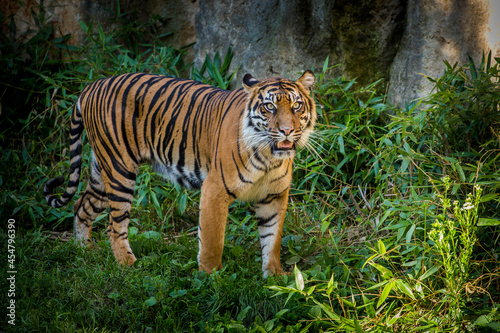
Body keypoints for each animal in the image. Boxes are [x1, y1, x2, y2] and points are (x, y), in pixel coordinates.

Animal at [44, 70, 316, 278]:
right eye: (269, 107)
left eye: (296, 106)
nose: (286, 130)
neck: (270, 157)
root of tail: (91, 86)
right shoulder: (215, 189)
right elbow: (212, 241)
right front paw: (211, 278)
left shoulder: (274, 196)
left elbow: (272, 240)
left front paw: (276, 278)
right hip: (119, 169)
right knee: (114, 225)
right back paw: (129, 265)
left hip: (102, 171)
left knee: (81, 206)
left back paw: (84, 251)